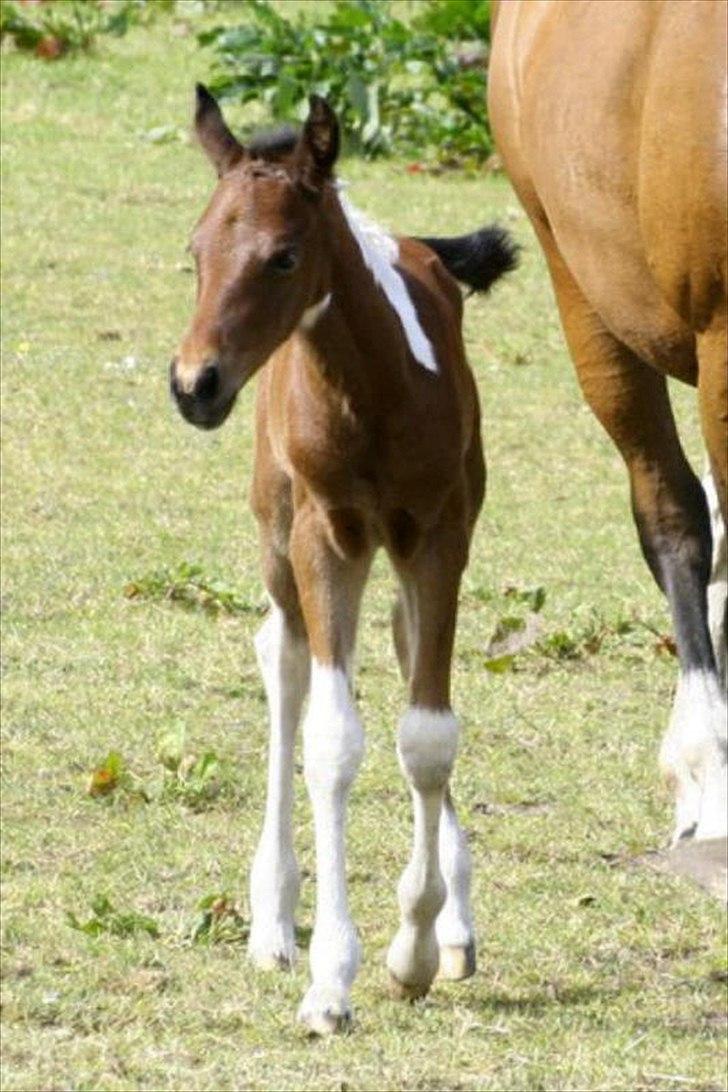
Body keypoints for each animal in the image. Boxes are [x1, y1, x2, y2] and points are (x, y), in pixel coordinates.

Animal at [170, 86, 516, 1034]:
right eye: (195, 253)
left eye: (283, 256)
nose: (194, 384)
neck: (375, 395)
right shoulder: (325, 536)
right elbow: (331, 740)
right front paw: (332, 976)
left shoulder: (439, 537)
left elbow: (427, 734)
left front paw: (420, 947)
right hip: (282, 536)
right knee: (284, 657)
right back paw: (273, 918)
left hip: (397, 554)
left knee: (397, 650)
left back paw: (453, 922)